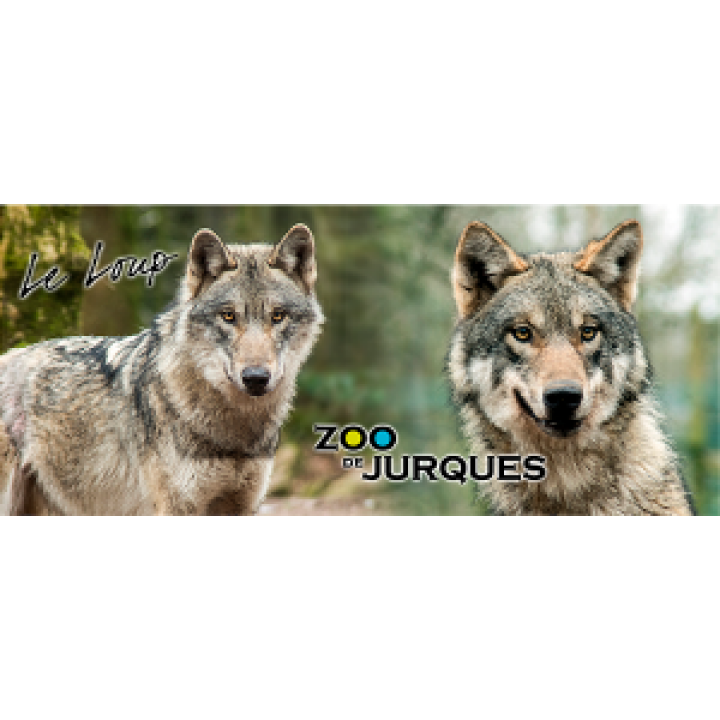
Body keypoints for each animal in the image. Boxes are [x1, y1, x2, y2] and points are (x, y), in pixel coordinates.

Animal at [0, 224, 323, 515]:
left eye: (278, 316)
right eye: (228, 316)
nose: (256, 378)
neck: (235, 430)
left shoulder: (244, 506)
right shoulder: (177, 507)